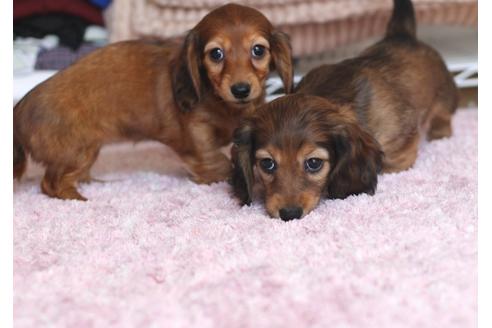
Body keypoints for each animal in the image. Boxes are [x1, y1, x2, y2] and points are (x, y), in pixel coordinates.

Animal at [13, 3, 292, 201]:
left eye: (258, 50)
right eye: (216, 54)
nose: (241, 89)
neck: (222, 103)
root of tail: (20, 107)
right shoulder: (196, 133)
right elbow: (216, 161)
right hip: (76, 151)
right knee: (50, 184)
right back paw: (77, 198)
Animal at [231, 0, 458, 222]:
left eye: (314, 163)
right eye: (267, 163)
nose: (289, 214)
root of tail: (403, 35)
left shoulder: (400, 152)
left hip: (444, 98)